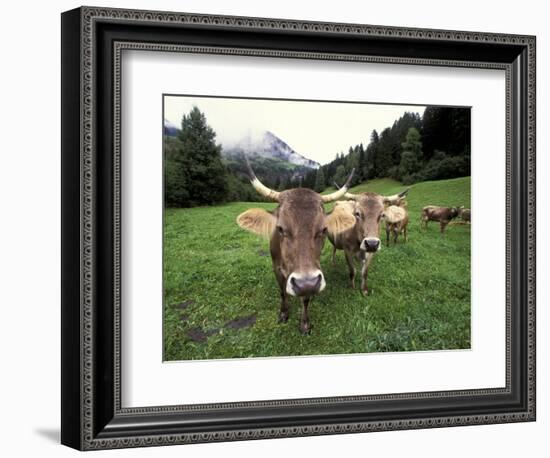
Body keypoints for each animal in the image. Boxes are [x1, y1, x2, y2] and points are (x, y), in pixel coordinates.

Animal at [237, 163, 358, 334]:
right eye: (280, 228)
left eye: (324, 229)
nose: (306, 283)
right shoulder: (276, 268)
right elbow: (282, 292)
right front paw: (283, 313)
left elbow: (306, 299)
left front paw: (305, 324)